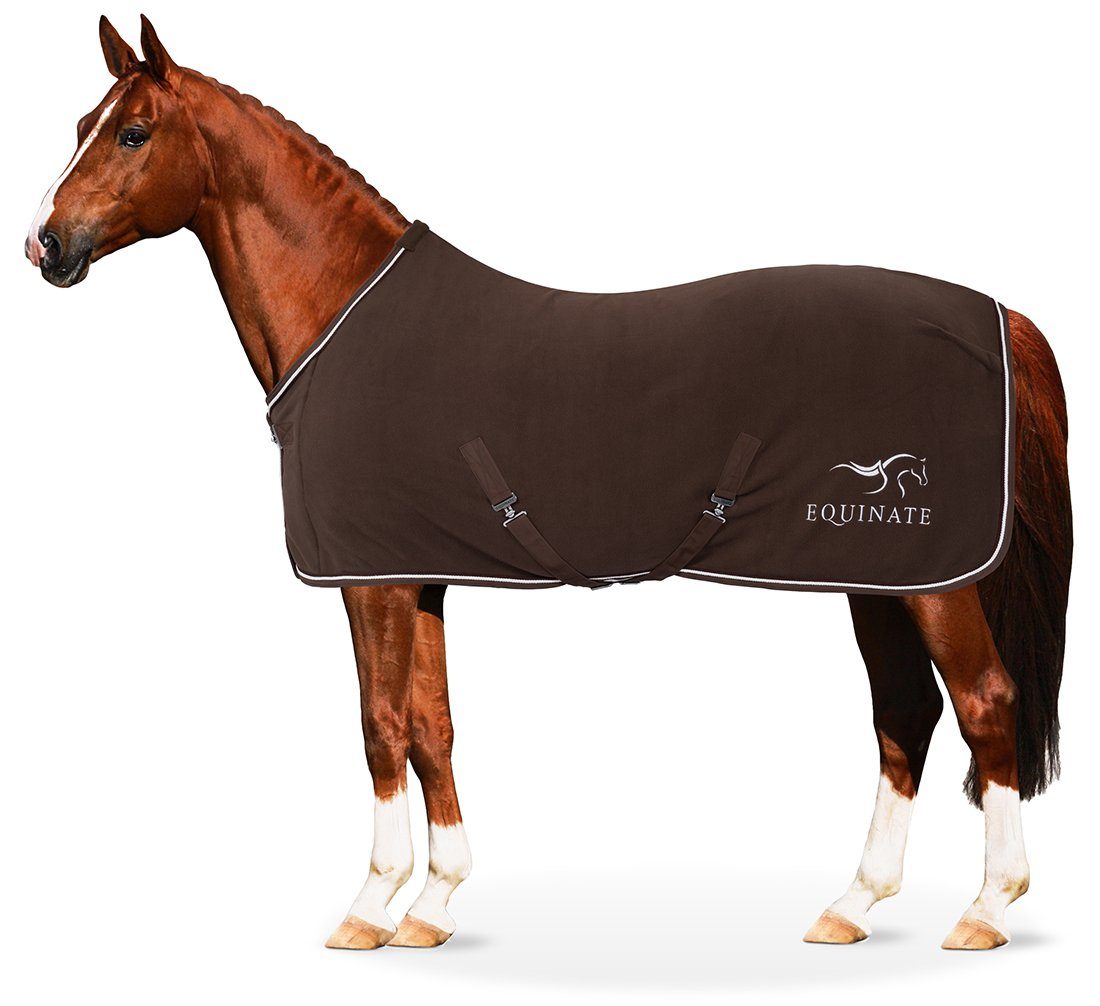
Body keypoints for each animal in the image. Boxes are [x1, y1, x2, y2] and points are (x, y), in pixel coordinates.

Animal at [24, 17, 1071, 952]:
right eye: (81, 122)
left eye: (132, 131)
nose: (44, 246)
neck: (347, 314)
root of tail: (997, 316)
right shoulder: (421, 576)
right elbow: (433, 726)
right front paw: (435, 906)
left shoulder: (369, 580)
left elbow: (379, 727)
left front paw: (370, 908)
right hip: (875, 576)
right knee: (905, 717)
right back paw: (852, 905)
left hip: (934, 580)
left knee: (985, 704)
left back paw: (985, 911)